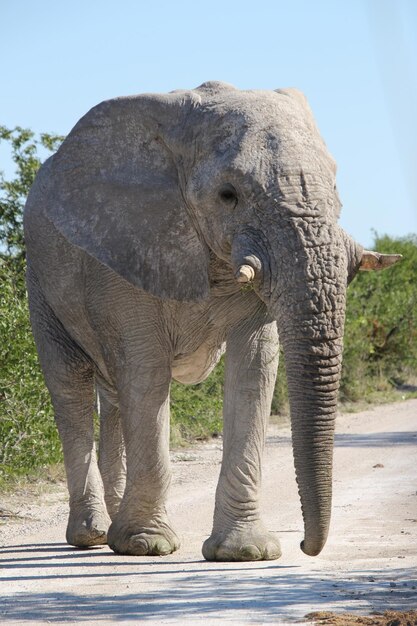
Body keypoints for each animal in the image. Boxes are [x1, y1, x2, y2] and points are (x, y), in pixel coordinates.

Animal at [23, 80, 400, 560]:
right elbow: (146, 372)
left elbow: (254, 370)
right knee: (70, 383)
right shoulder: (125, 249)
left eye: (335, 185)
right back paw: (92, 535)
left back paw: (111, 528)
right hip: (40, 277)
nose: (304, 544)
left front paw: (244, 552)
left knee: (112, 395)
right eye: (228, 195)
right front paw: (147, 545)